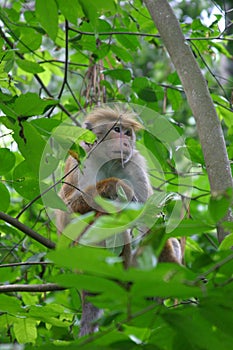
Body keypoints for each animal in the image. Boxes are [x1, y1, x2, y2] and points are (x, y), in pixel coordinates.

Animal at [55, 106, 183, 336]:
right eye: (116, 130)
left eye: (128, 133)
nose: (126, 143)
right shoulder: (81, 160)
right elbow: (68, 210)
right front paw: (116, 186)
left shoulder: (133, 165)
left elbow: (150, 221)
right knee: (108, 219)